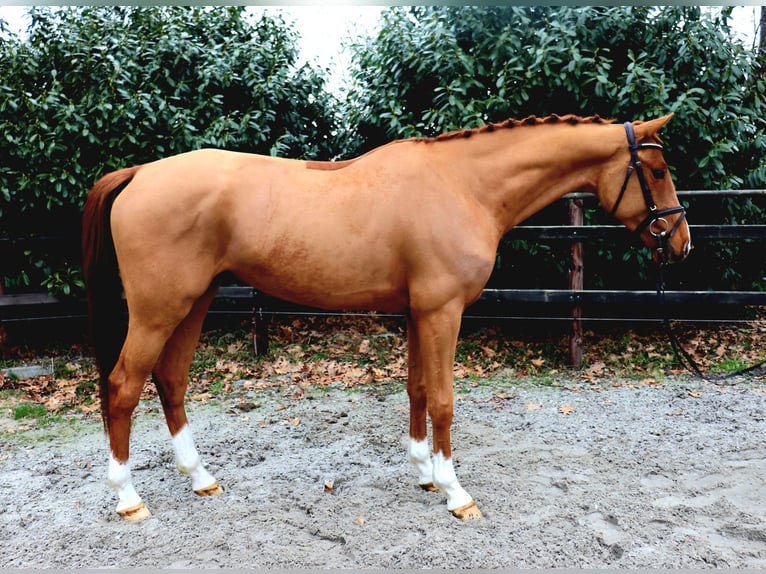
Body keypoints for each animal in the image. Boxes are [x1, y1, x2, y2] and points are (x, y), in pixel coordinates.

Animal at [82, 113, 691, 521]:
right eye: (658, 169)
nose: (682, 242)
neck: (462, 186)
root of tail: (140, 173)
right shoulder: (442, 312)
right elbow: (443, 400)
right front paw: (456, 493)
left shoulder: (419, 312)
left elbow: (417, 389)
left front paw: (424, 473)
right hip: (158, 310)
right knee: (123, 386)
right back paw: (128, 498)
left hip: (194, 302)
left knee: (171, 380)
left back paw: (201, 479)